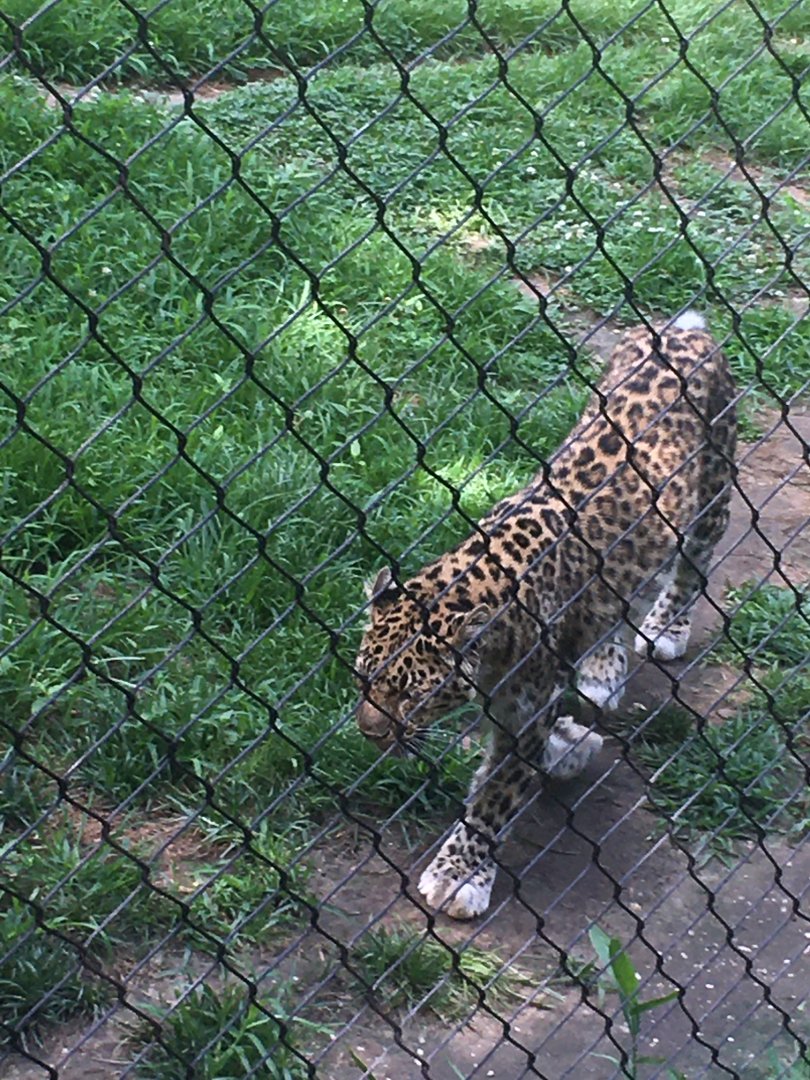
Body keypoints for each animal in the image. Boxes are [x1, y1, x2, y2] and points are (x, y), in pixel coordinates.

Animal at [354, 311, 736, 920]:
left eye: (414, 694)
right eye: (362, 677)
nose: (369, 734)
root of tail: (684, 330)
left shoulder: (523, 713)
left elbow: (495, 797)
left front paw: (460, 876)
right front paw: (568, 745)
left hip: (713, 494)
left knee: (692, 566)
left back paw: (663, 630)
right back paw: (602, 666)